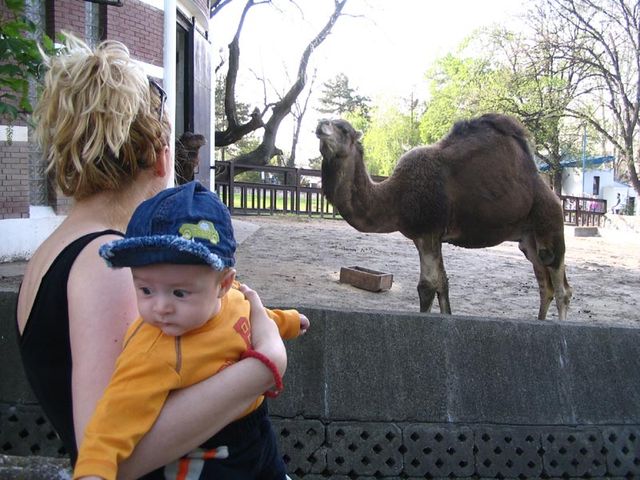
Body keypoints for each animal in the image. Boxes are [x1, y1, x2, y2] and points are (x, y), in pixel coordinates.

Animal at [316, 113, 572, 320]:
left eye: (344, 129)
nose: (320, 124)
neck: (395, 196)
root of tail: (552, 193)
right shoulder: (429, 237)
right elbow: (442, 283)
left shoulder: (427, 233)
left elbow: (427, 286)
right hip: (528, 240)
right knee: (545, 287)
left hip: (550, 225)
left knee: (562, 287)